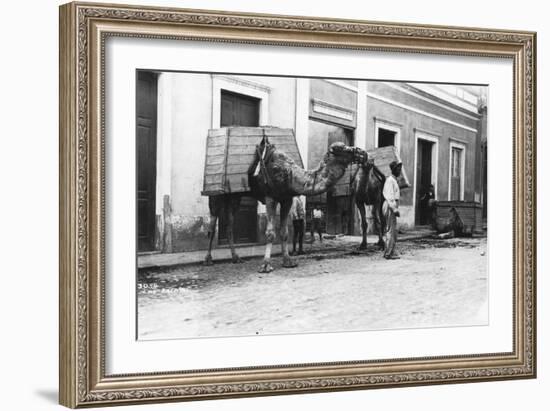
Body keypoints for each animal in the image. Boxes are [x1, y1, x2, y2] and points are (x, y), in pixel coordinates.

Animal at [250, 140, 366, 272]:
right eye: (341, 149)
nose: (362, 153)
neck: (290, 175)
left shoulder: (286, 199)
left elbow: (284, 232)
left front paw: (288, 262)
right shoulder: (270, 196)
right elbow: (270, 233)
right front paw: (265, 265)